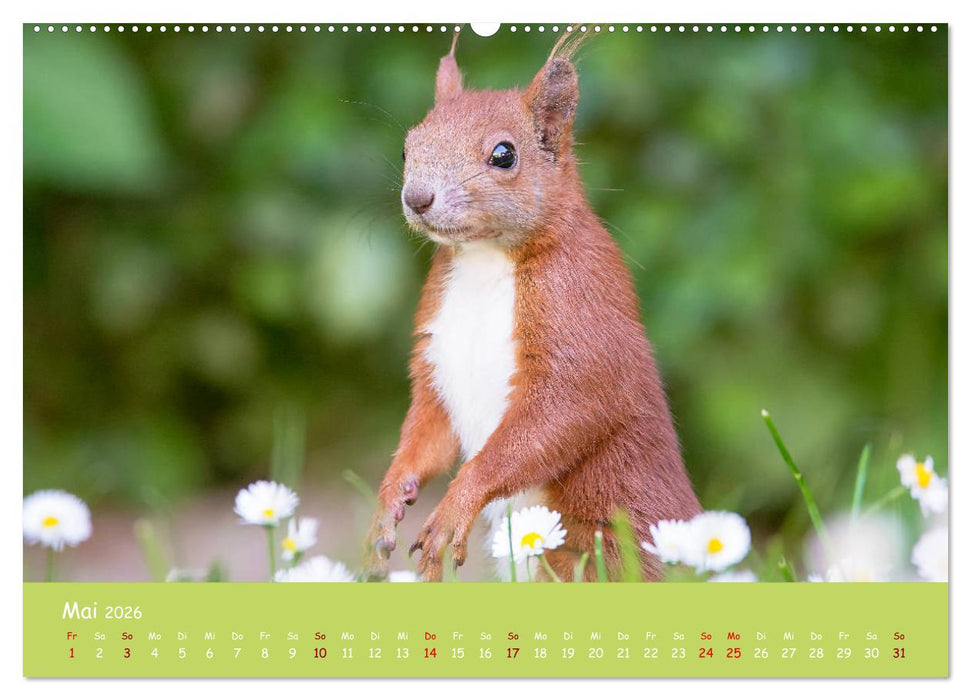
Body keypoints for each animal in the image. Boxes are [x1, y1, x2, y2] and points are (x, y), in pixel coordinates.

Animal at [364, 33, 702, 582]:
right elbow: (427, 430)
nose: (417, 197)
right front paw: (388, 502)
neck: (483, 261)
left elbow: (559, 415)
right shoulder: (435, 349)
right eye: (407, 145)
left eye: (504, 155)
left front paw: (453, 509)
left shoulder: (579, 313)